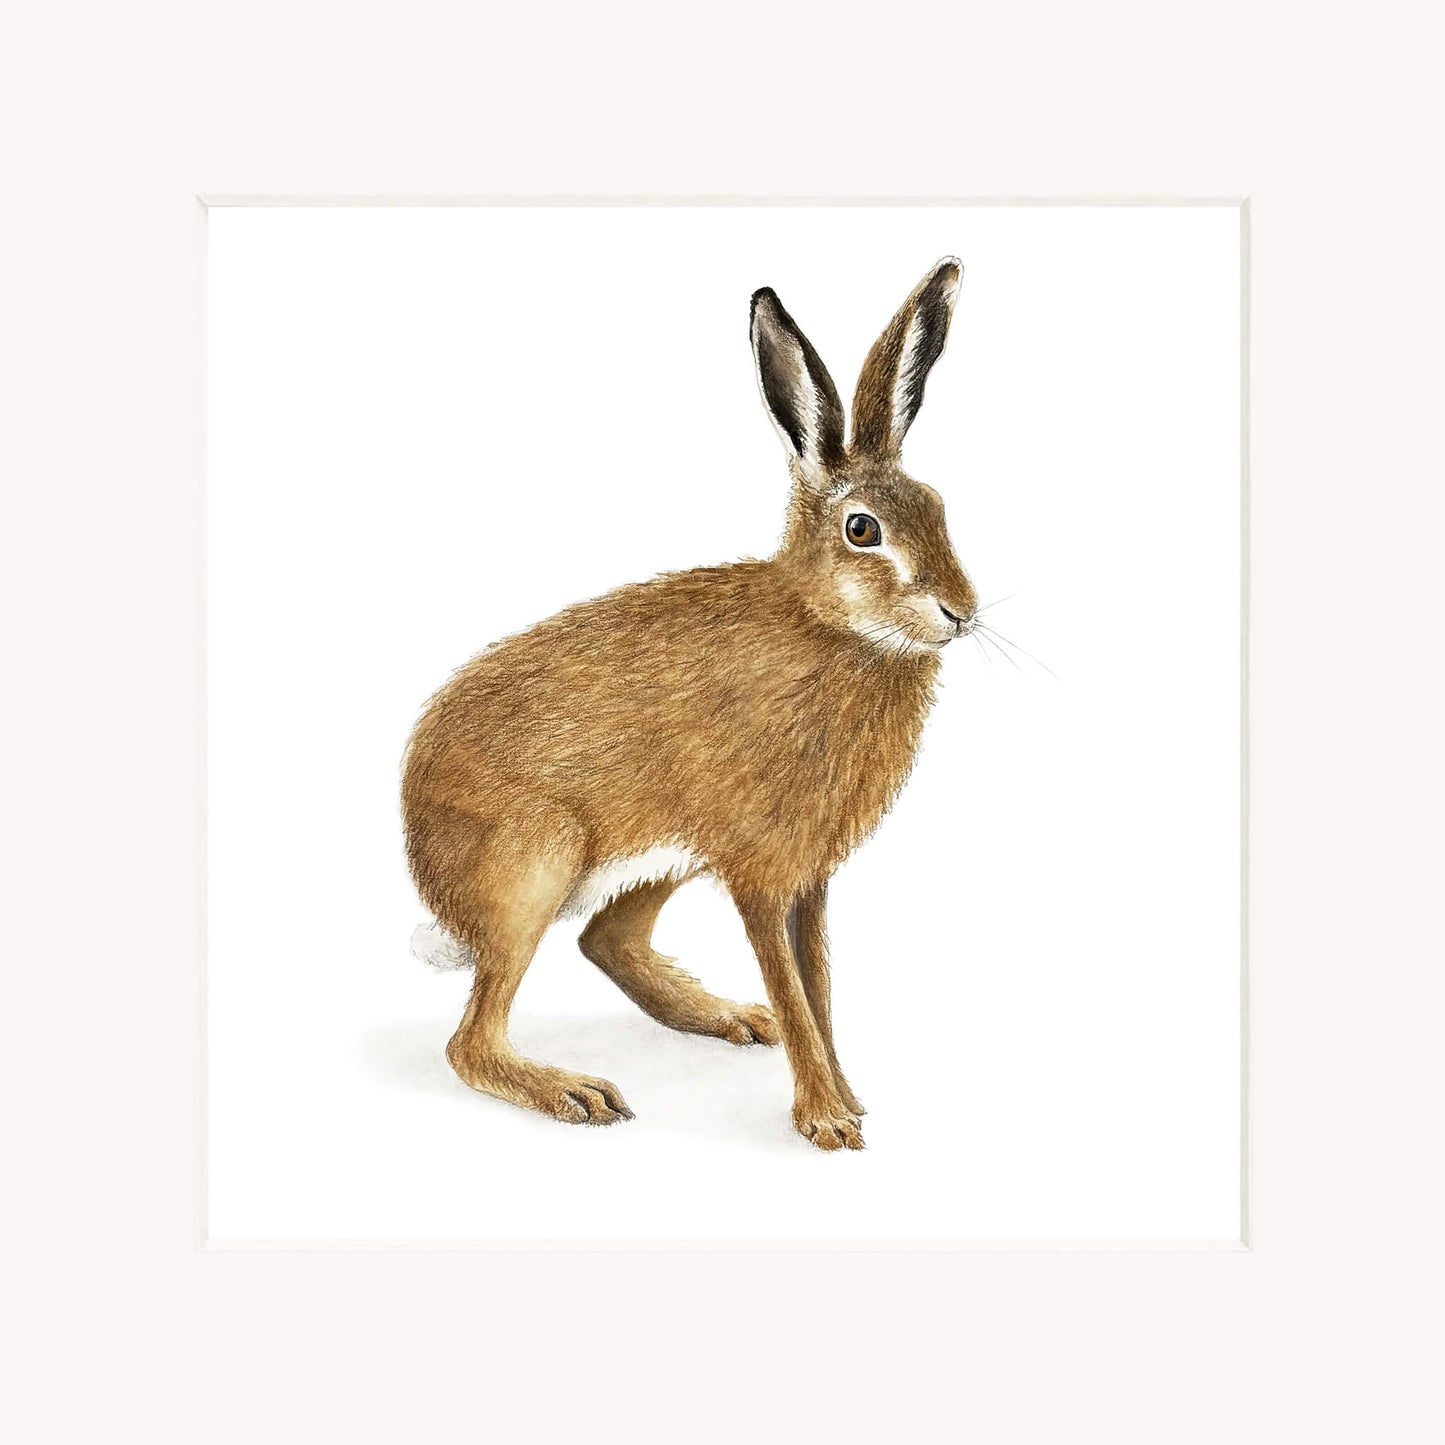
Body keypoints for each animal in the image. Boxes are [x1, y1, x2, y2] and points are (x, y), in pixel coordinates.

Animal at [402, 257, 979, 1151]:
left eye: (940, 508)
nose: (961, 611)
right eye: (862, 530)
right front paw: (825, 1121)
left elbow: (817, 986)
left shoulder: (807, 877)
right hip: (534, 859)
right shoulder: (761, 870)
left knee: (605, 939)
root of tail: (422, 855)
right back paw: (574, 1091)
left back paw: (730, 1017)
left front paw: (847, 1098)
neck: (828, 626)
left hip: (659, 852)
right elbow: (793, 984)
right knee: (471, 1039)